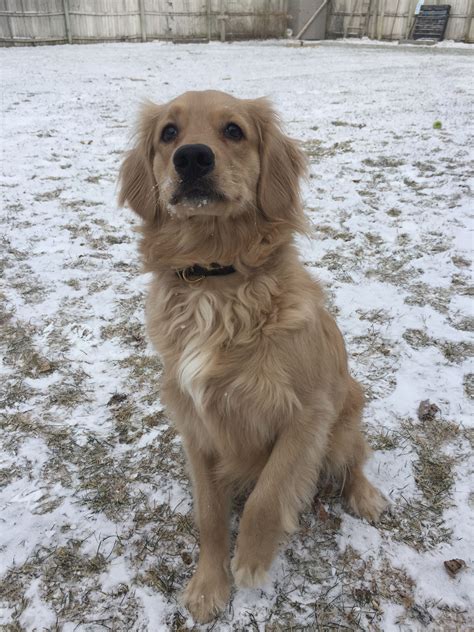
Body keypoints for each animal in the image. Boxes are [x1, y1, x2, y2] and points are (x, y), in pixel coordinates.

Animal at [117, 90, 386, 624]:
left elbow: (269, 493)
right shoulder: (195, 424)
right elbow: (208, 515)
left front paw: (252, 561)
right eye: (169, 133)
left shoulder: (308, 414)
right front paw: (208, 584)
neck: (215, 280)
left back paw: (365, 495)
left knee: (353, 459)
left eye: (234, 131)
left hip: (345, 417)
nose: (192, 158)